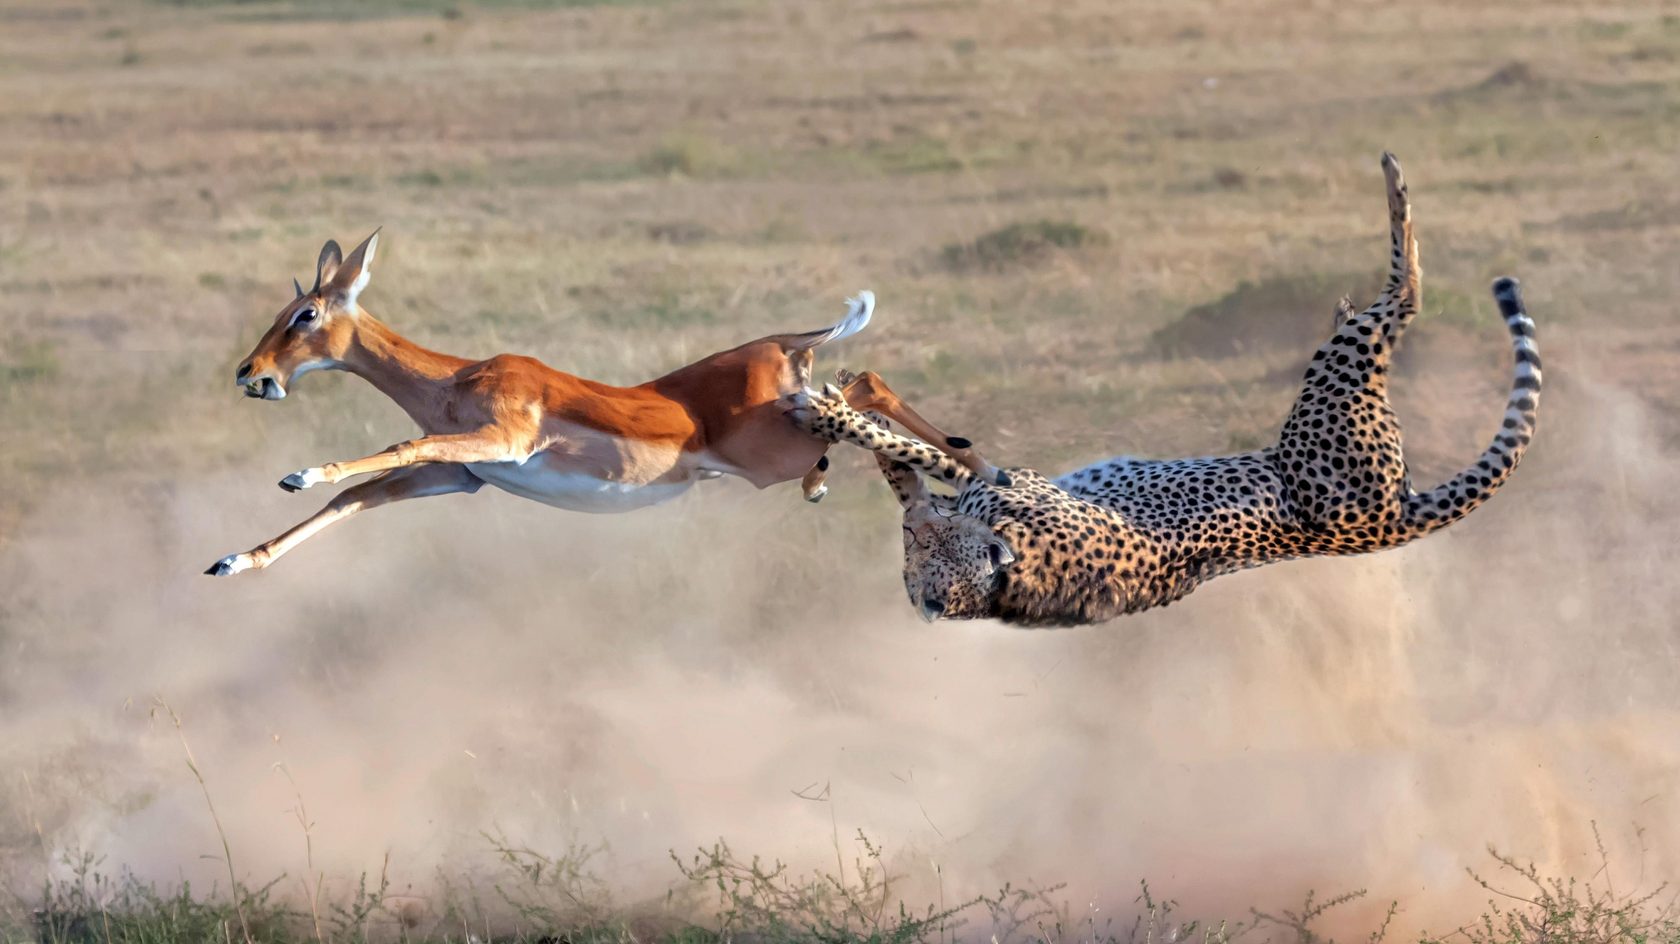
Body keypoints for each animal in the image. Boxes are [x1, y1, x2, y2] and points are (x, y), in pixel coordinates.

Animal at [786, 152, 1538, 624]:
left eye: (921, 554)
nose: (917, 536)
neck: (1007, 570)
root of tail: (1400, 518)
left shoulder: (1007, 482)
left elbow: (925, 449)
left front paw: (833, 406)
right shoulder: (998, 487)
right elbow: (920, 456)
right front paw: (836, 413)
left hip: (1331, 396)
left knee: (1405, 291)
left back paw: (1388, 196)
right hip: (1335, 393)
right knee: (1401, 300)